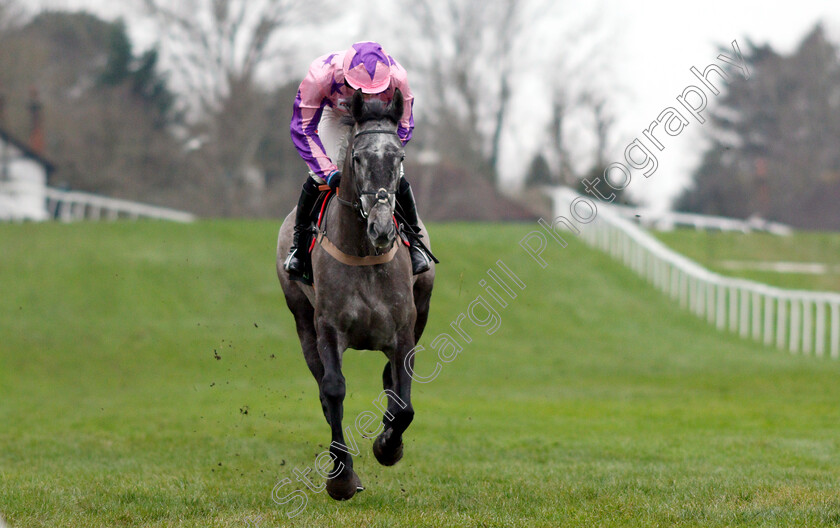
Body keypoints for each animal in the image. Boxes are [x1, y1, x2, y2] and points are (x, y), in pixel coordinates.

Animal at [276, 88, 436, 502]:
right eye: (359, 158)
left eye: (399, 158)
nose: (381, 228)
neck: (365, 252)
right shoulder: (328, 328)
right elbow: (333, 391)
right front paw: (342, 477)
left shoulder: (404, 332)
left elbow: (404, 404)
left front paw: (388, 446)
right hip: (302, 321)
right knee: (323, 388)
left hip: (424, 304)